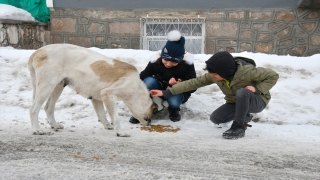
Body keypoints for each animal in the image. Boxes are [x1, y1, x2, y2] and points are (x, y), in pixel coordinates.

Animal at [28, 43, 158, 136]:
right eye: (153, 112)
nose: (150, 123)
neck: (137, 88)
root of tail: (38, 51)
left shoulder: (97, 98)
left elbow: (102, 114)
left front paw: (107, 125)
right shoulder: (108, 94)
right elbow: (115, 117)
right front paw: (120, 132)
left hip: (57, 87)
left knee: (48, 108)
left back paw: (54, 125)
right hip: (46, 86)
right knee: (33, 109)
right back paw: (36, 130)